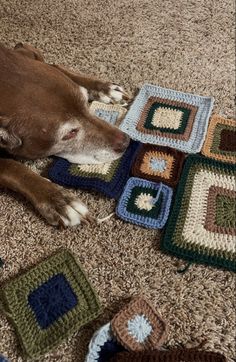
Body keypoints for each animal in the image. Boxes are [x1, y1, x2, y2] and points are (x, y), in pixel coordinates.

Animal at [0, 43, 130, 226]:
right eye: (69, 134)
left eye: (85, 102)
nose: (126, 142)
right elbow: (11, 166)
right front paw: (58, 199)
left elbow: (55, 65)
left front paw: (104, 88)